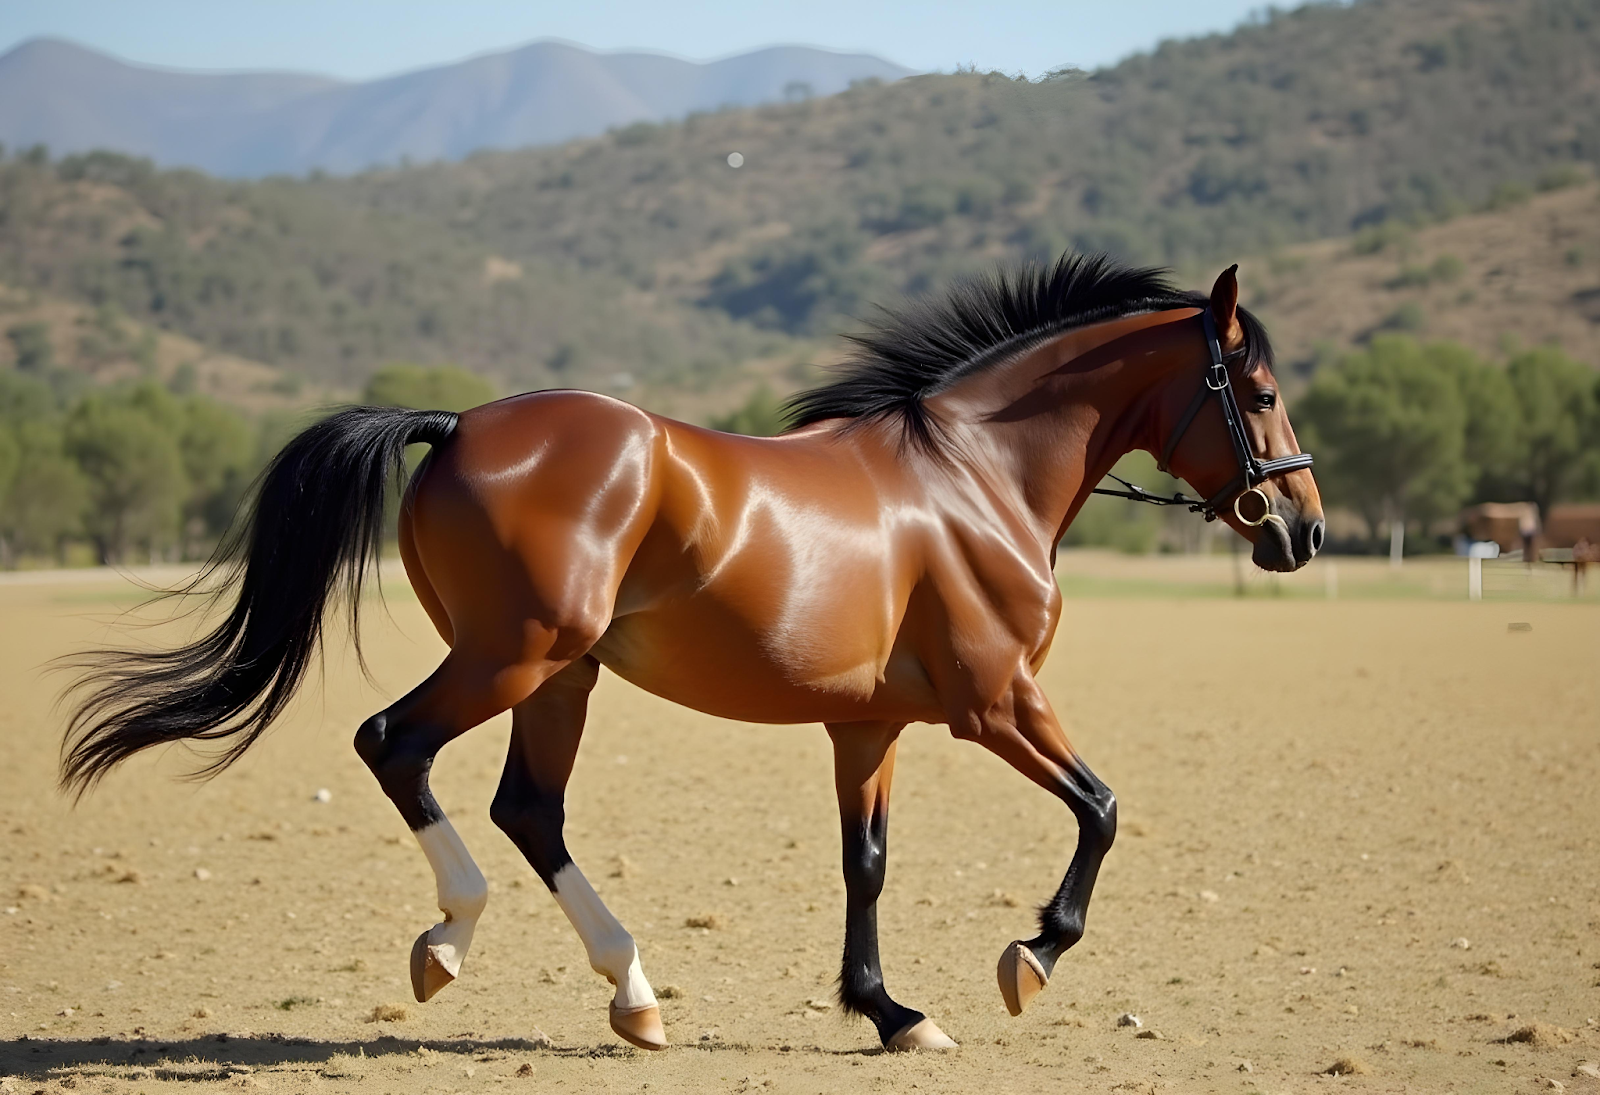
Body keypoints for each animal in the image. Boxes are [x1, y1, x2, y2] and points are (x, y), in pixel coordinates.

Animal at [59, 254, 1323, 1053]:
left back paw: (633, 996)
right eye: (1258, 392)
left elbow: (866, 864)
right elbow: (1101, 810)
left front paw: (889, 1012)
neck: (973, 482)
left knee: (530, 809)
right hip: (515, 656)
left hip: (559, 677)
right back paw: (450, 943)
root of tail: (458, 424)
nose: (1301, 531)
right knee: (395, 745)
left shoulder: (869, 726)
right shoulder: (997, 703)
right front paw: (1030, 958)